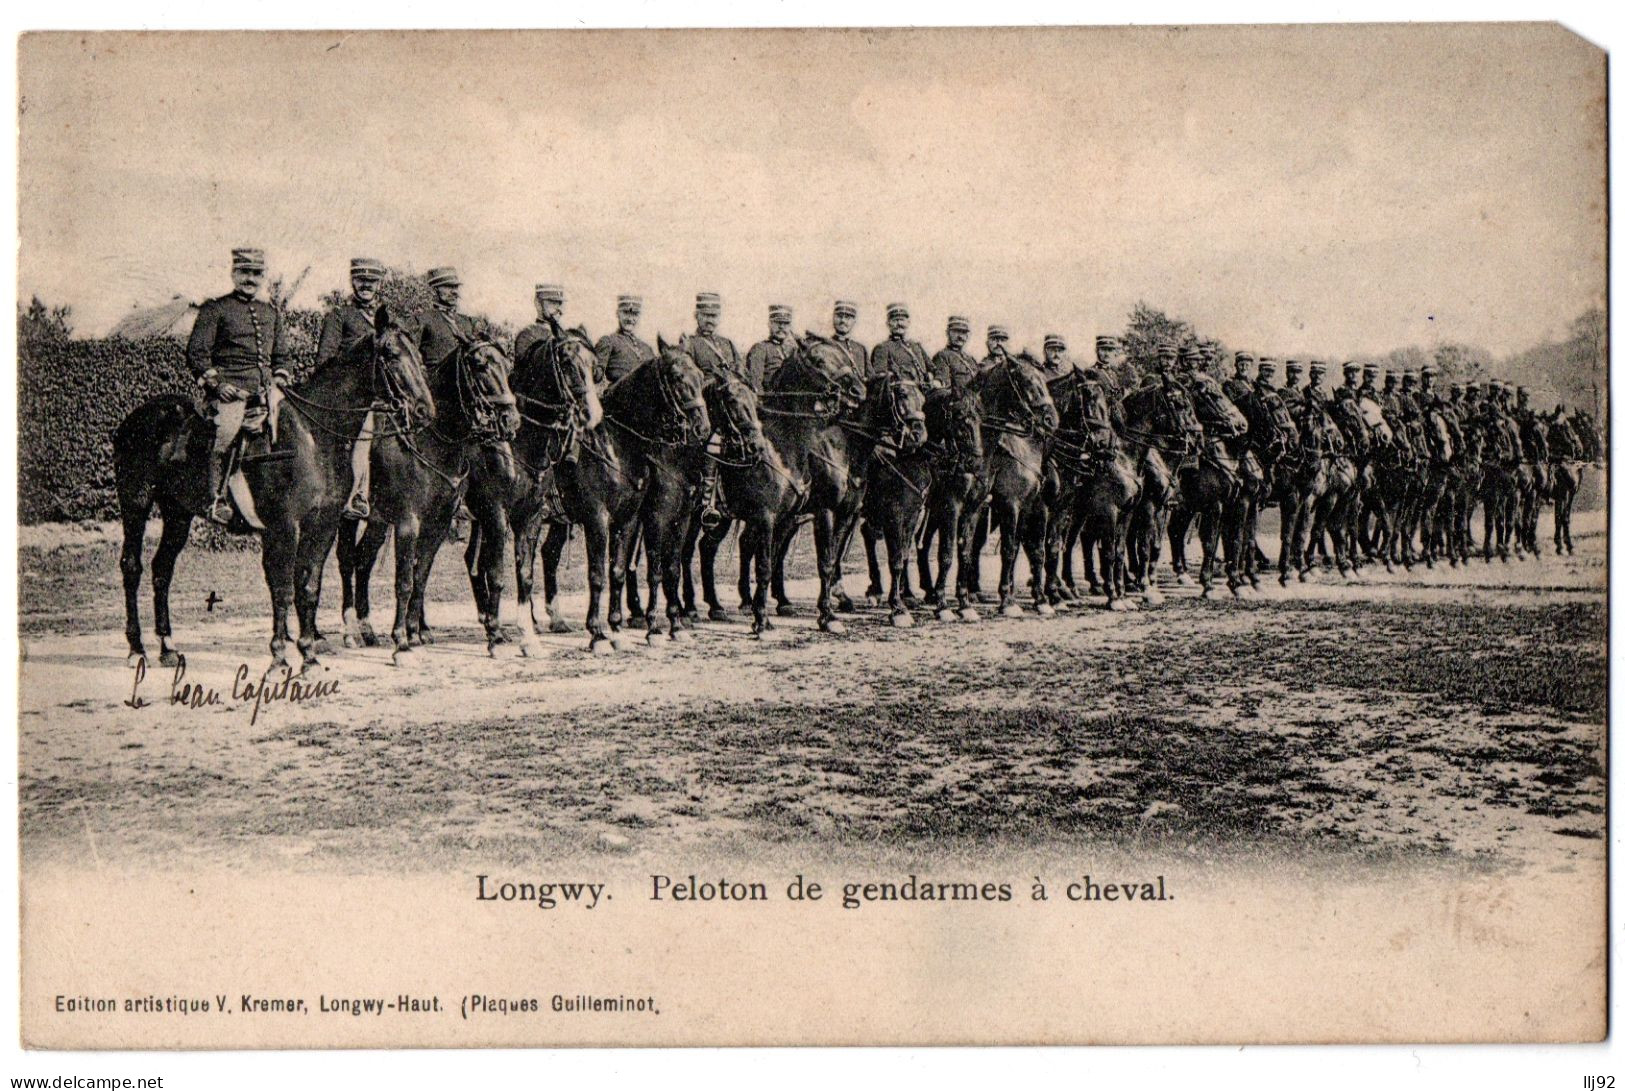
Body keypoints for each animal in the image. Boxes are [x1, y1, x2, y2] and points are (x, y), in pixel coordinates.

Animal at [114, 302, 435, 669]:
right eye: (391, 354)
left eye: (418, 356)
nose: (424, 410)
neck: (312, 434)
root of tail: (135, 420)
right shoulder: (283, 527)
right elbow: (282, 587)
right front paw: (280, 655)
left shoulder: (322, 525)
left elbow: (309, 585)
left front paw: (308, 652)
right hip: (136, 503)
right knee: (132, 567)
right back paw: (137, 649)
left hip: (177, 513)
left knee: (162, 569)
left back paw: (167, 646)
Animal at [336, 336, 520, 660]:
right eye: (479, 365)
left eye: (507, 367)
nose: (510, 420)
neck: (432, 441)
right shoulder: (409, 522)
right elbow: (405, 580)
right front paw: (401, 639)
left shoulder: (444, 522)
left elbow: (422, 575)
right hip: (347, 517)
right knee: (346, 561)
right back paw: (348, 632)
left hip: (378, 521)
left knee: (363, 560)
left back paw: (368, 630)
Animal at [458, 328, 604, 656]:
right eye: (567, 361)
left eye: (594, 365)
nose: (592, 413)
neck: (520, 444)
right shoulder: (497, 515)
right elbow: (497, 573)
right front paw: (496, 638)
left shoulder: (531, 515)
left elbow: (524, 573)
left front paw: (527, 637)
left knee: (471, 561)